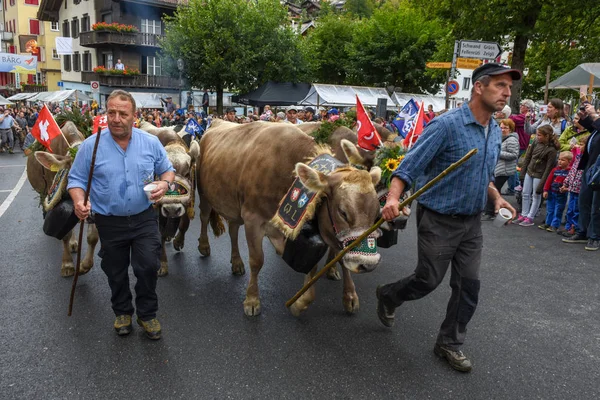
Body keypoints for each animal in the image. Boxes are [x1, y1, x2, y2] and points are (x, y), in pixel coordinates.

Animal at [197, 120, 384, 318]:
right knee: (204, 218)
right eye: (343, 212)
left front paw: (301, 302)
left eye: (376, 213)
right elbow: (257, 261)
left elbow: (319, 267)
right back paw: (204, 246)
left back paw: (237, 263)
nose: (368, 263)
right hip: (205, 195)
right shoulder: (253, 219)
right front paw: (252, 300)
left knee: (233, 230)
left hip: (233, 205)